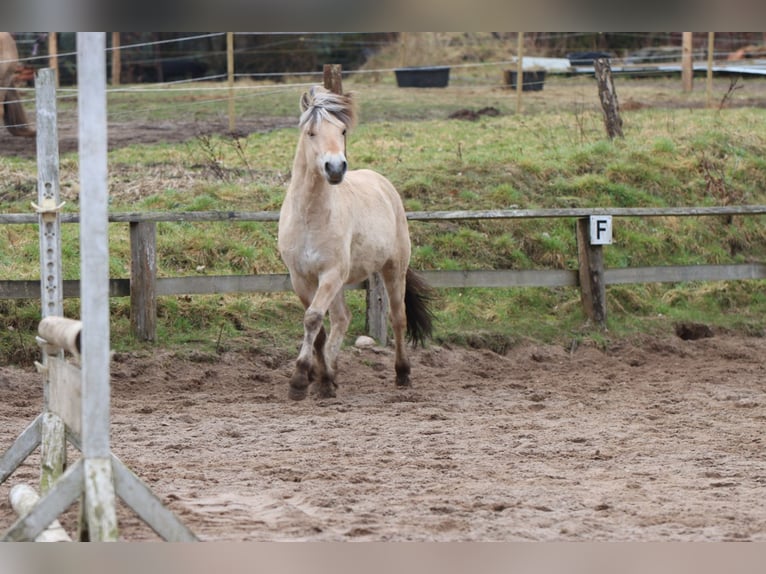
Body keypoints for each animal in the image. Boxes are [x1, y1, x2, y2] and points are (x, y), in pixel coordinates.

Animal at [278, 86, 436, 400]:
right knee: (342, 318)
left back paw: (402, 374)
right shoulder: (301, 278)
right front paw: (322, 379)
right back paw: (329, 372)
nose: (336, 168)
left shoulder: (331, 273)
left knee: (397, 318)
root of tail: (384, 184)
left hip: (393, 269)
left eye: (341, 130)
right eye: (310, 132)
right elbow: (318, 327)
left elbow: (313, 318)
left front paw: (300, 381)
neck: (309, 216)